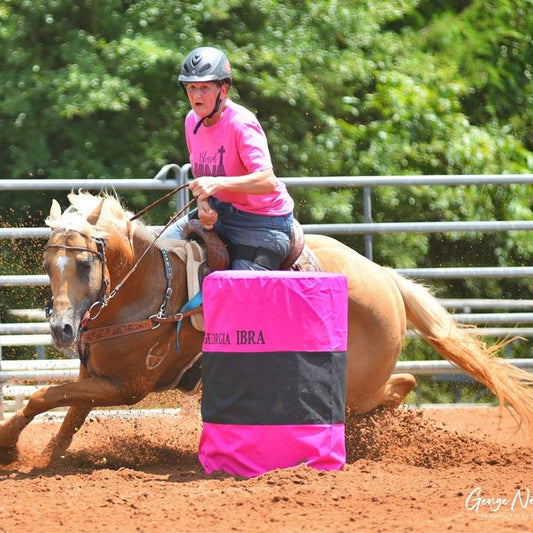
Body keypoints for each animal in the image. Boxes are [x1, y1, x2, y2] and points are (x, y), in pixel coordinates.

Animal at [1, 190, 532, 462]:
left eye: (84, 264)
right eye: (48, 264)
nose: (63, 329)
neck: (146, 286)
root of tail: (385, 278)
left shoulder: (129, 387)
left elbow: (42, 396)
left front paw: (8, 449)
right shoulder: (97, 376)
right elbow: (67, 412)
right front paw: (46, 458)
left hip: (357, 381)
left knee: (398, 386)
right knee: (397, 387)